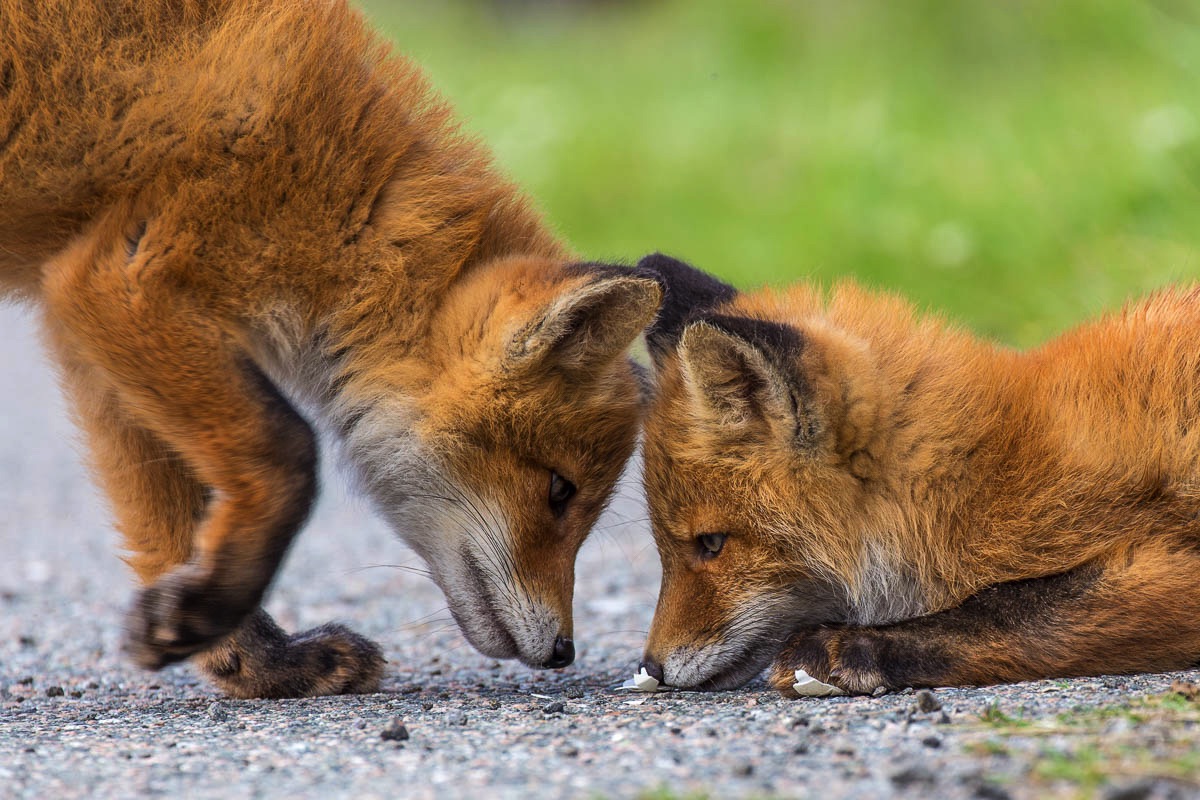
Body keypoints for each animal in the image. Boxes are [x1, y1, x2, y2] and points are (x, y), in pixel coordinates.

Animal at [0, 0, 662, 695]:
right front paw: (216, 618)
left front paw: (247, 656)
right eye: (561, 491)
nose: (565, 651)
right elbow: (285, 451)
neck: (348, 192)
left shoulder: (90, 322)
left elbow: (171, 527)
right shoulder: (123, 284)